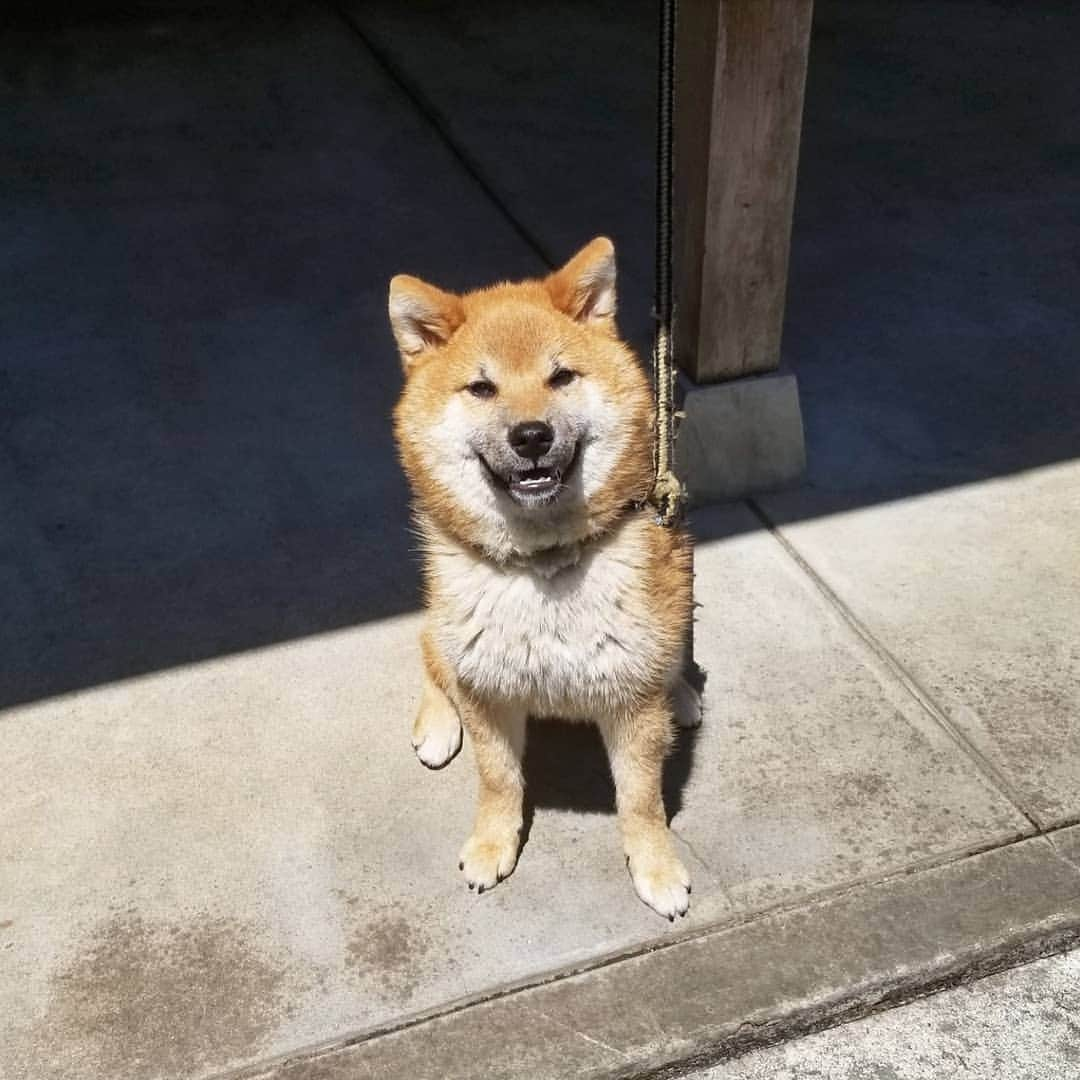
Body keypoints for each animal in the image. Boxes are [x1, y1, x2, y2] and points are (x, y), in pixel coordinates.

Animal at [393, 238, 695, 920]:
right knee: (428, 648)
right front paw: (491, 844)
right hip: (445, 631)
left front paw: (656, 867)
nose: (531, 435)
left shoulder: (634, 702)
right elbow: (498, 778)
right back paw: (436, 724)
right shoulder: (485, 689)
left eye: (561, 377)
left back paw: (686, 692)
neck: (543, 563)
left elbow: (641, 800)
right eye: (481, 388)